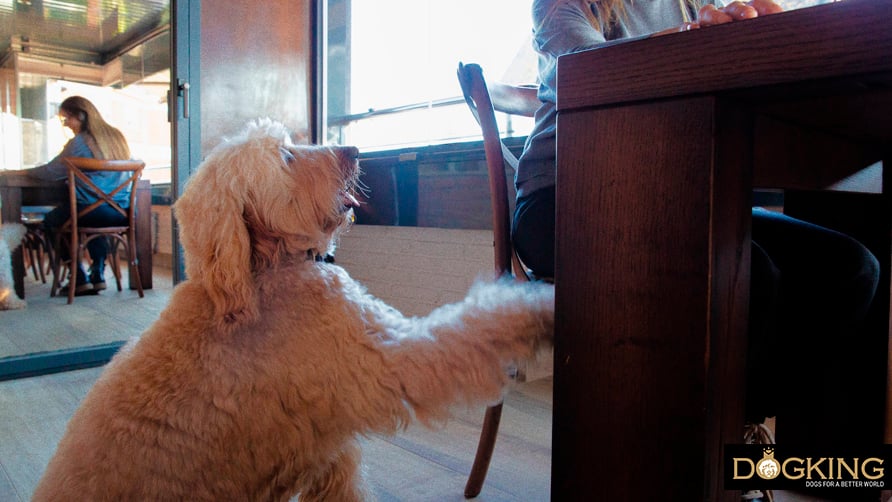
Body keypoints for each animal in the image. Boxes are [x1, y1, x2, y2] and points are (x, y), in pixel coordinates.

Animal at [34, 119, 556, 500]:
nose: (355, 151)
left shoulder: (327, 456)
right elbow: (470, 328)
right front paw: (539, 305)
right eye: (286, 157)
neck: (260, 273)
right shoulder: (385, 359)